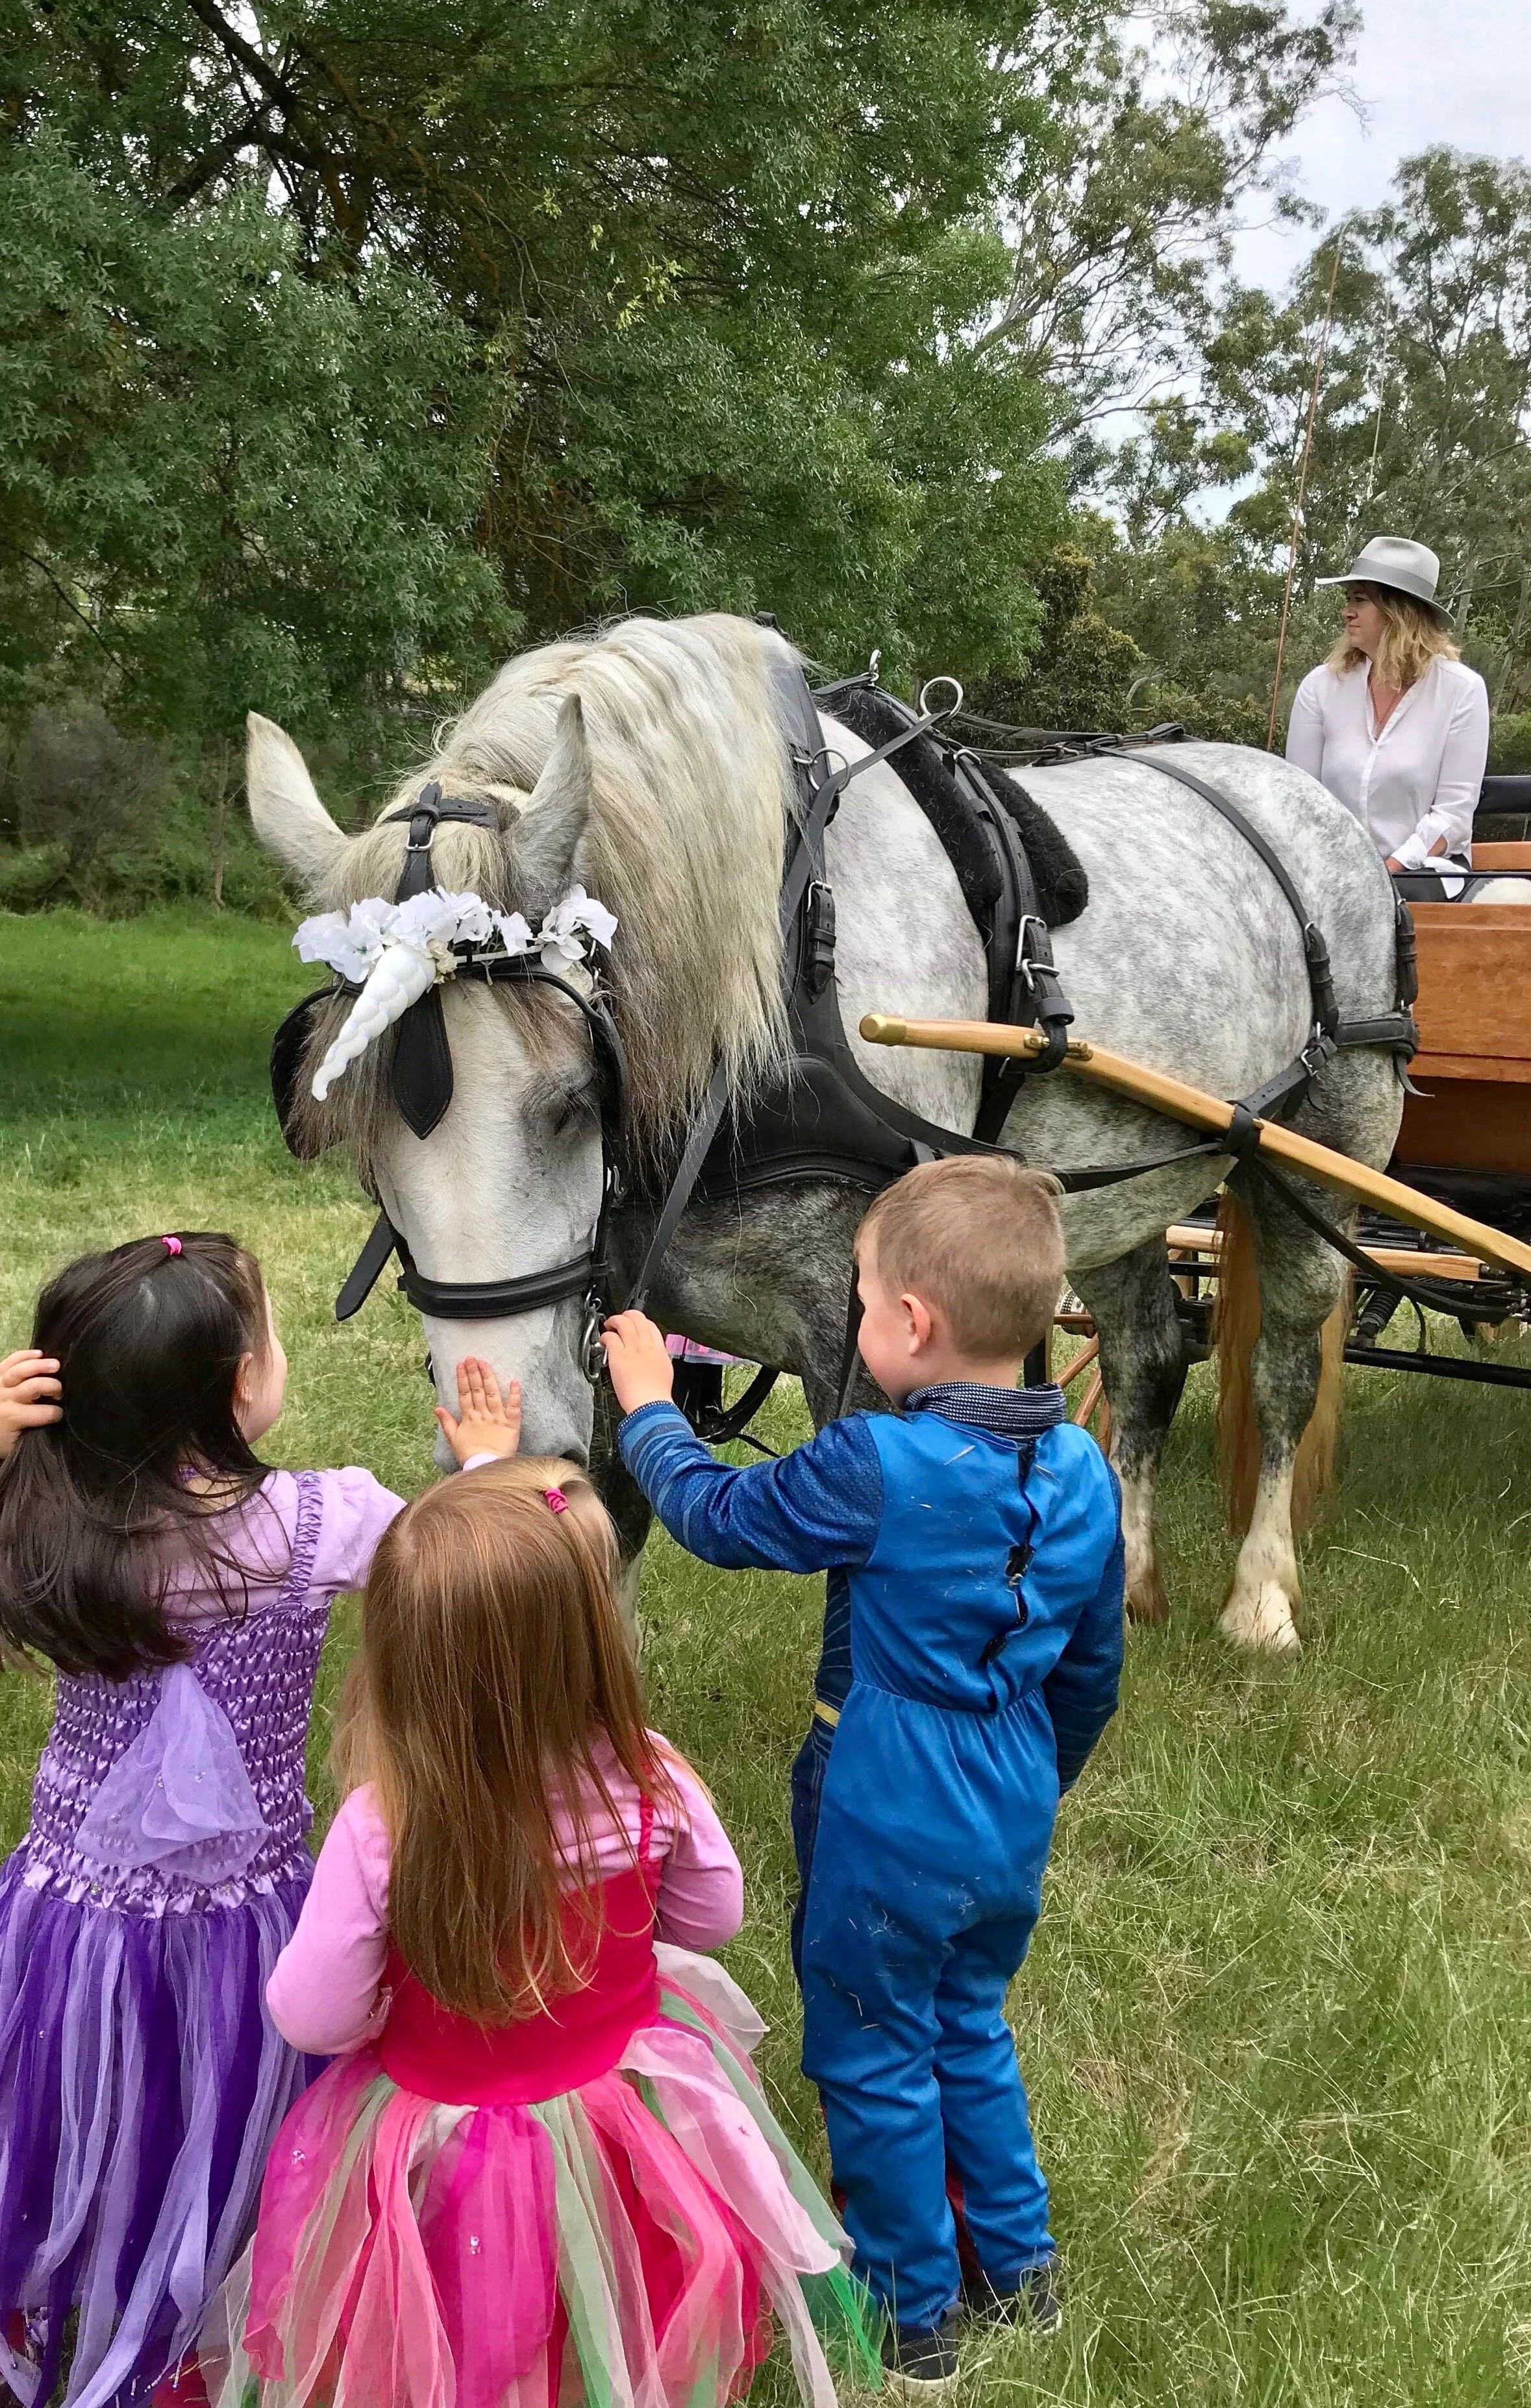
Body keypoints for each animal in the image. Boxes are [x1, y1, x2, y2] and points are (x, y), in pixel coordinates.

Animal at [246, 612, 1405, 1654]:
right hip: (1110, 1187)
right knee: (1145, 1360)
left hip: (1327, 1152)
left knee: (1284, 1368)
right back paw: (1126, 1581)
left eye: (575, 1094)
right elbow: (614, 1518)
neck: (773, 961)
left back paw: (1260, 1599)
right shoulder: (608, 1307)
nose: (507, 1452)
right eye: (356, 1145)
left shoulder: (860, 1338)